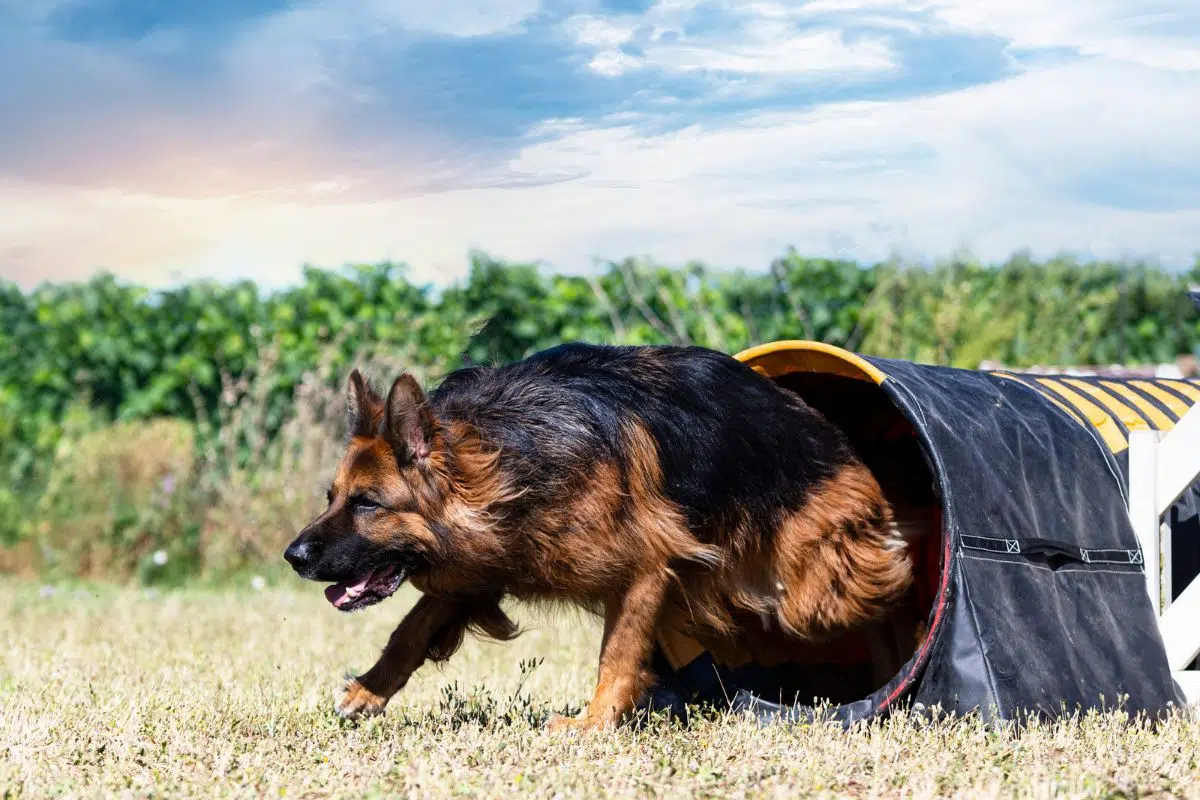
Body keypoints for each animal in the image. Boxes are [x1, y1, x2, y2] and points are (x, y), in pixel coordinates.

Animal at [283, 340, 907, 729]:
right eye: (331, 498)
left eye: (367, 504)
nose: (293, 555)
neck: (505, 458)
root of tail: (833, 439)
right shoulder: (489, 560)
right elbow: (409, 630)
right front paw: (368, 690)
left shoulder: (646, 570)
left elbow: (617, 655)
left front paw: (592, 725)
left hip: (808, 592)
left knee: (869, 593)